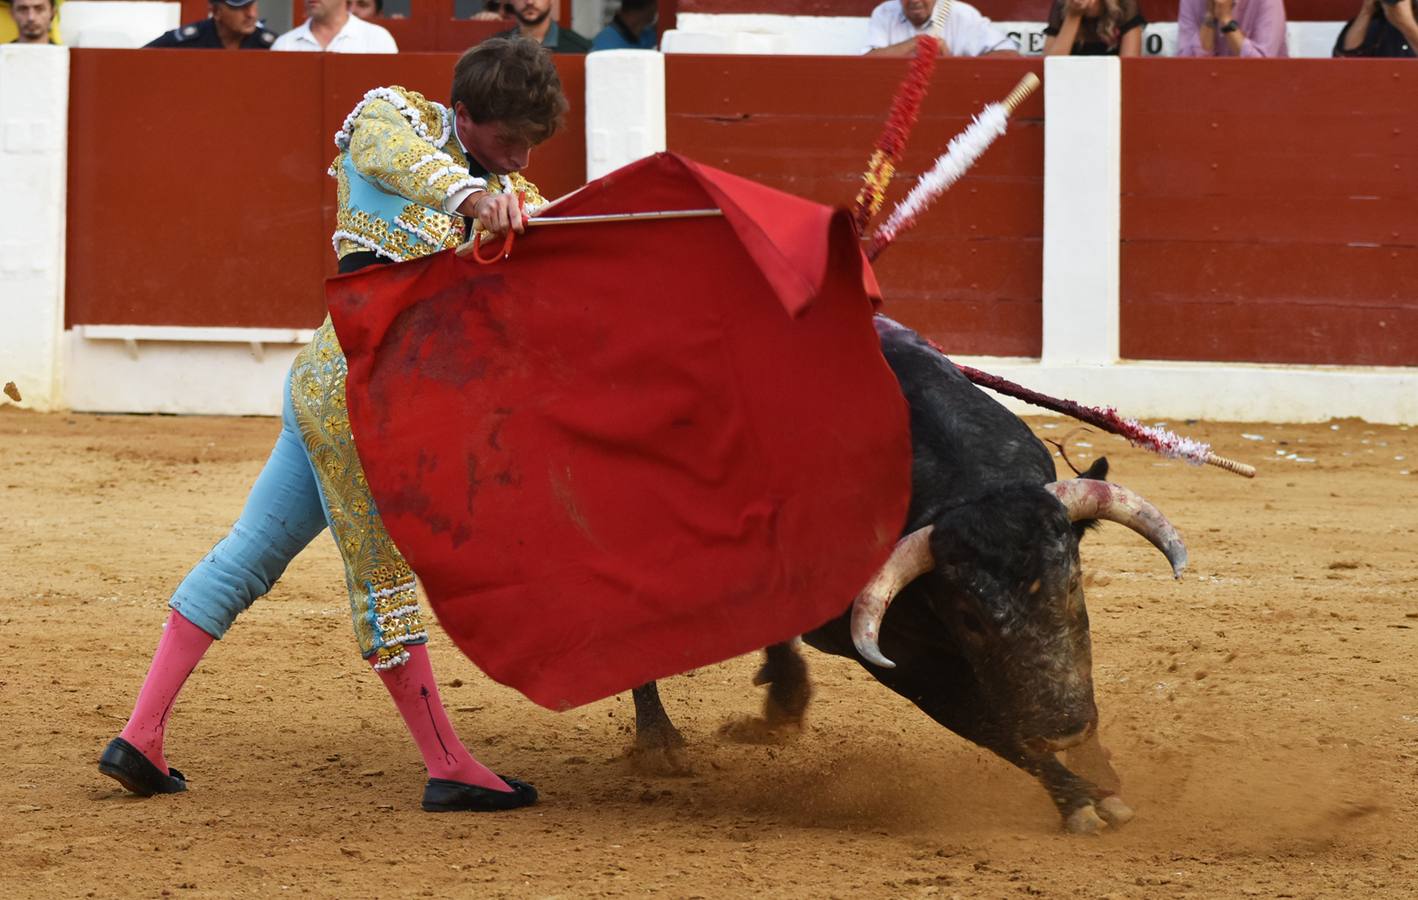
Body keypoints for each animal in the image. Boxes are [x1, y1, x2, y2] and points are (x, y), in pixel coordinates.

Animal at [632, 313, 1185, 833]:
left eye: (1071, 586)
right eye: (970, 619)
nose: (1061, 729)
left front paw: (1102, 775)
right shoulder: (898, 658)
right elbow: (988, 724)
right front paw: (1079, 800)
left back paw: (782, 704)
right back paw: (659, 744)